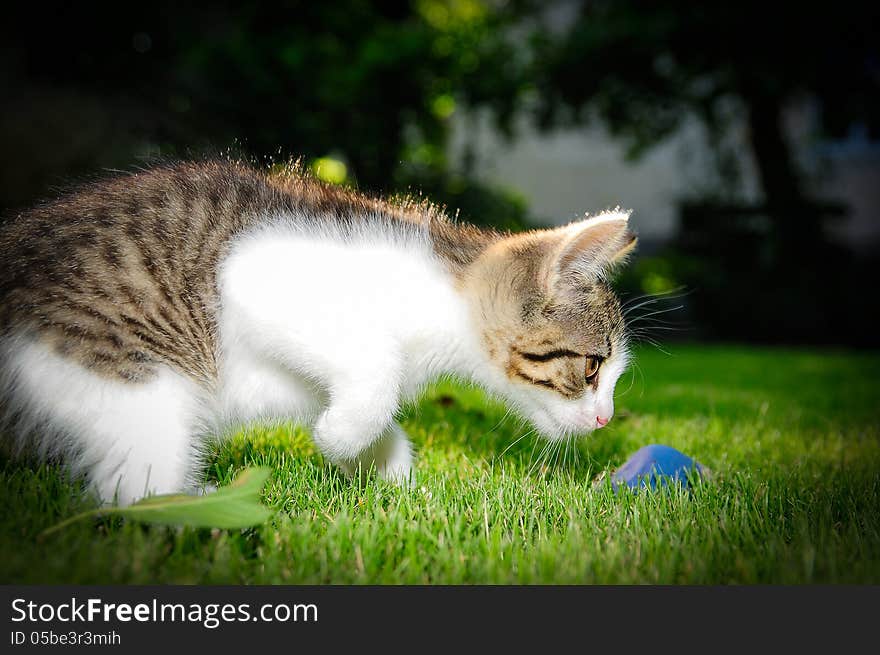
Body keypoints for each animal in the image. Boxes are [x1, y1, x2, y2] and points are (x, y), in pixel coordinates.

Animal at [0, 160, 632, 508]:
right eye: (593, 367)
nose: (606, 418)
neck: (446, 298)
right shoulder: (254, 275)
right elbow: (376, 370)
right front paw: (339, 439)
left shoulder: (278, 376)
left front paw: (394, 477)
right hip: (132, 373)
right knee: (132, 492)